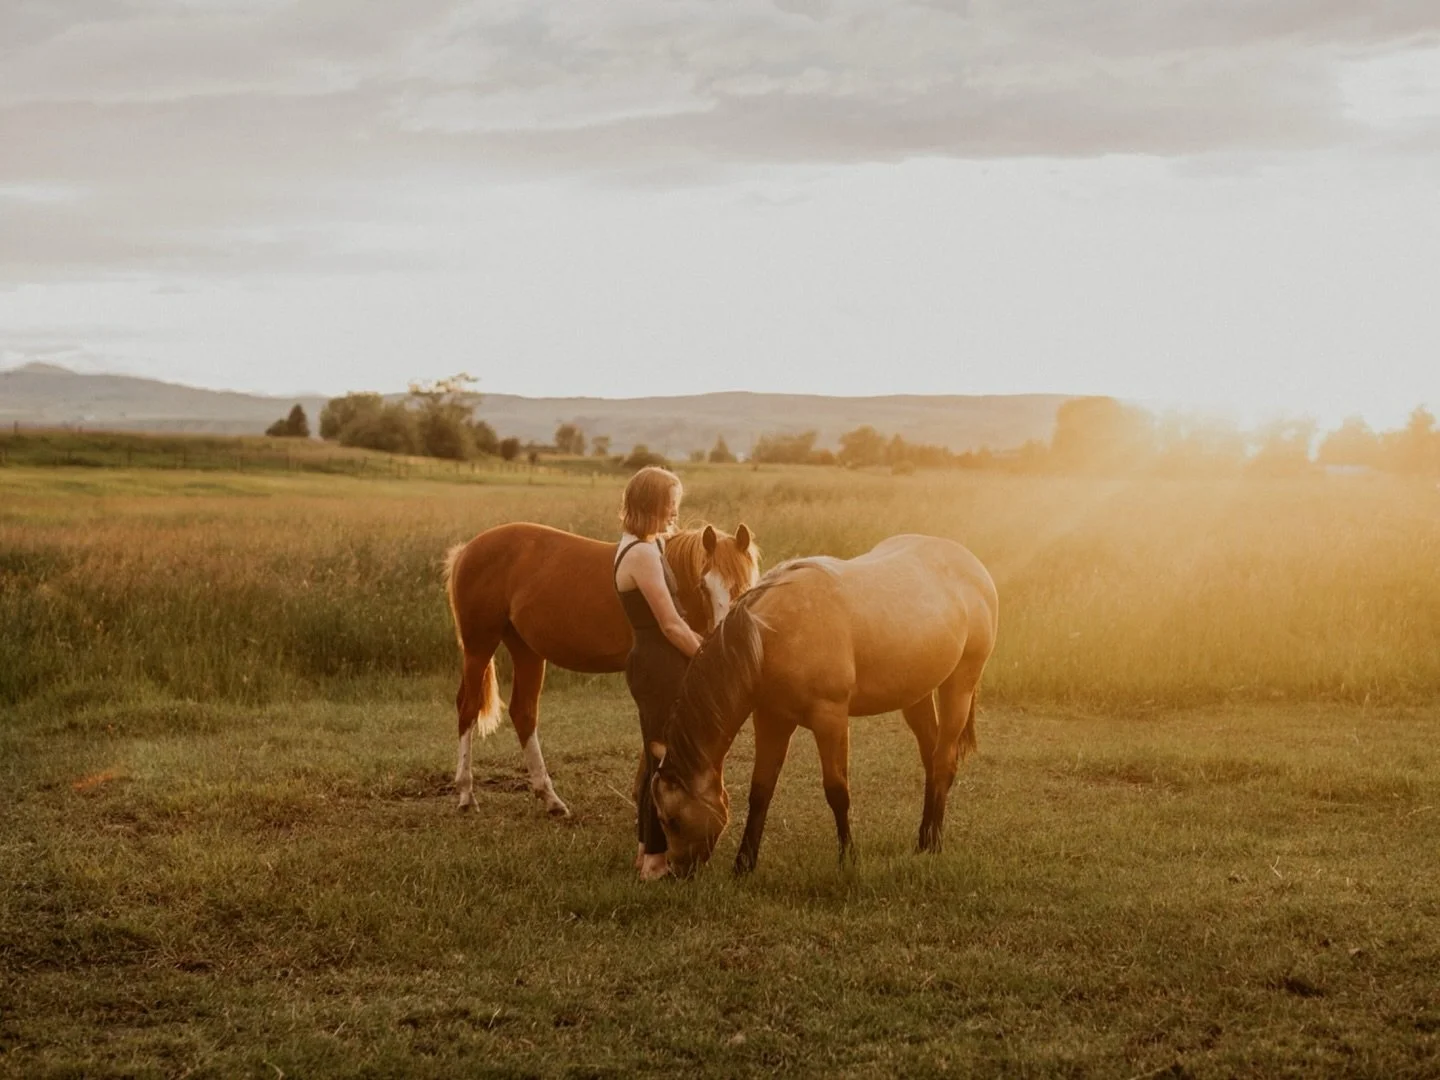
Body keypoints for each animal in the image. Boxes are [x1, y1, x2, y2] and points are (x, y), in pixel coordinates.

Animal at [444, 521, 759, 816]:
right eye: (704, 585)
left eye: (745, 584)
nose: (722, 634)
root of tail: (467, 550)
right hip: (479, 646)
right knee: (468, 708)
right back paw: (466, 794)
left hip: (526, 650)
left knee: (523, 713)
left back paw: (551, 799)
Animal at [649, 534, 998, 876]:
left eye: (672, 820)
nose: (676, 872)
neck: (768, 636)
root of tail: (972, 564)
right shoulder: (772, 718)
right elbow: (760, 790)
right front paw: (743, 865)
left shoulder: (830, 719)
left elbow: (837, 791)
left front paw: (848, 859)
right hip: (916, 695)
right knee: (931, 759)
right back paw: (923, 841)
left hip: (959, 686)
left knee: (943, 762)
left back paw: (934, 845)